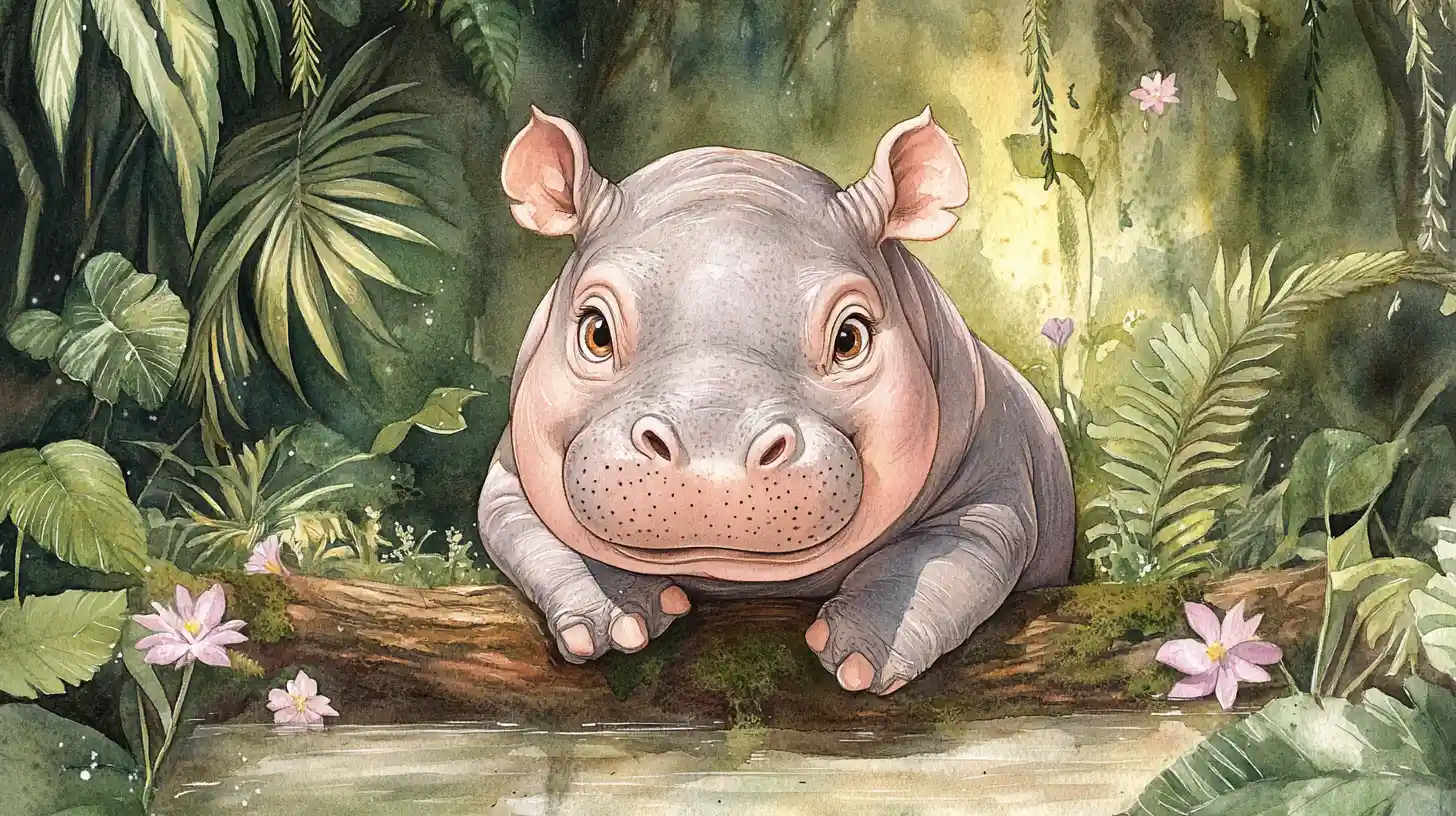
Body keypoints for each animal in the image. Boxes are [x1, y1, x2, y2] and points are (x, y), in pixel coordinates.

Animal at [478, 105, 1075, 695]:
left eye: (849, 336)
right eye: (596, 330)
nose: (711, 465)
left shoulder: (991, 490)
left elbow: (934, 560)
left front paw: (860, 662)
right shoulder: (511, 474)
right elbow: (532, 533)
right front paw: (616, 621)